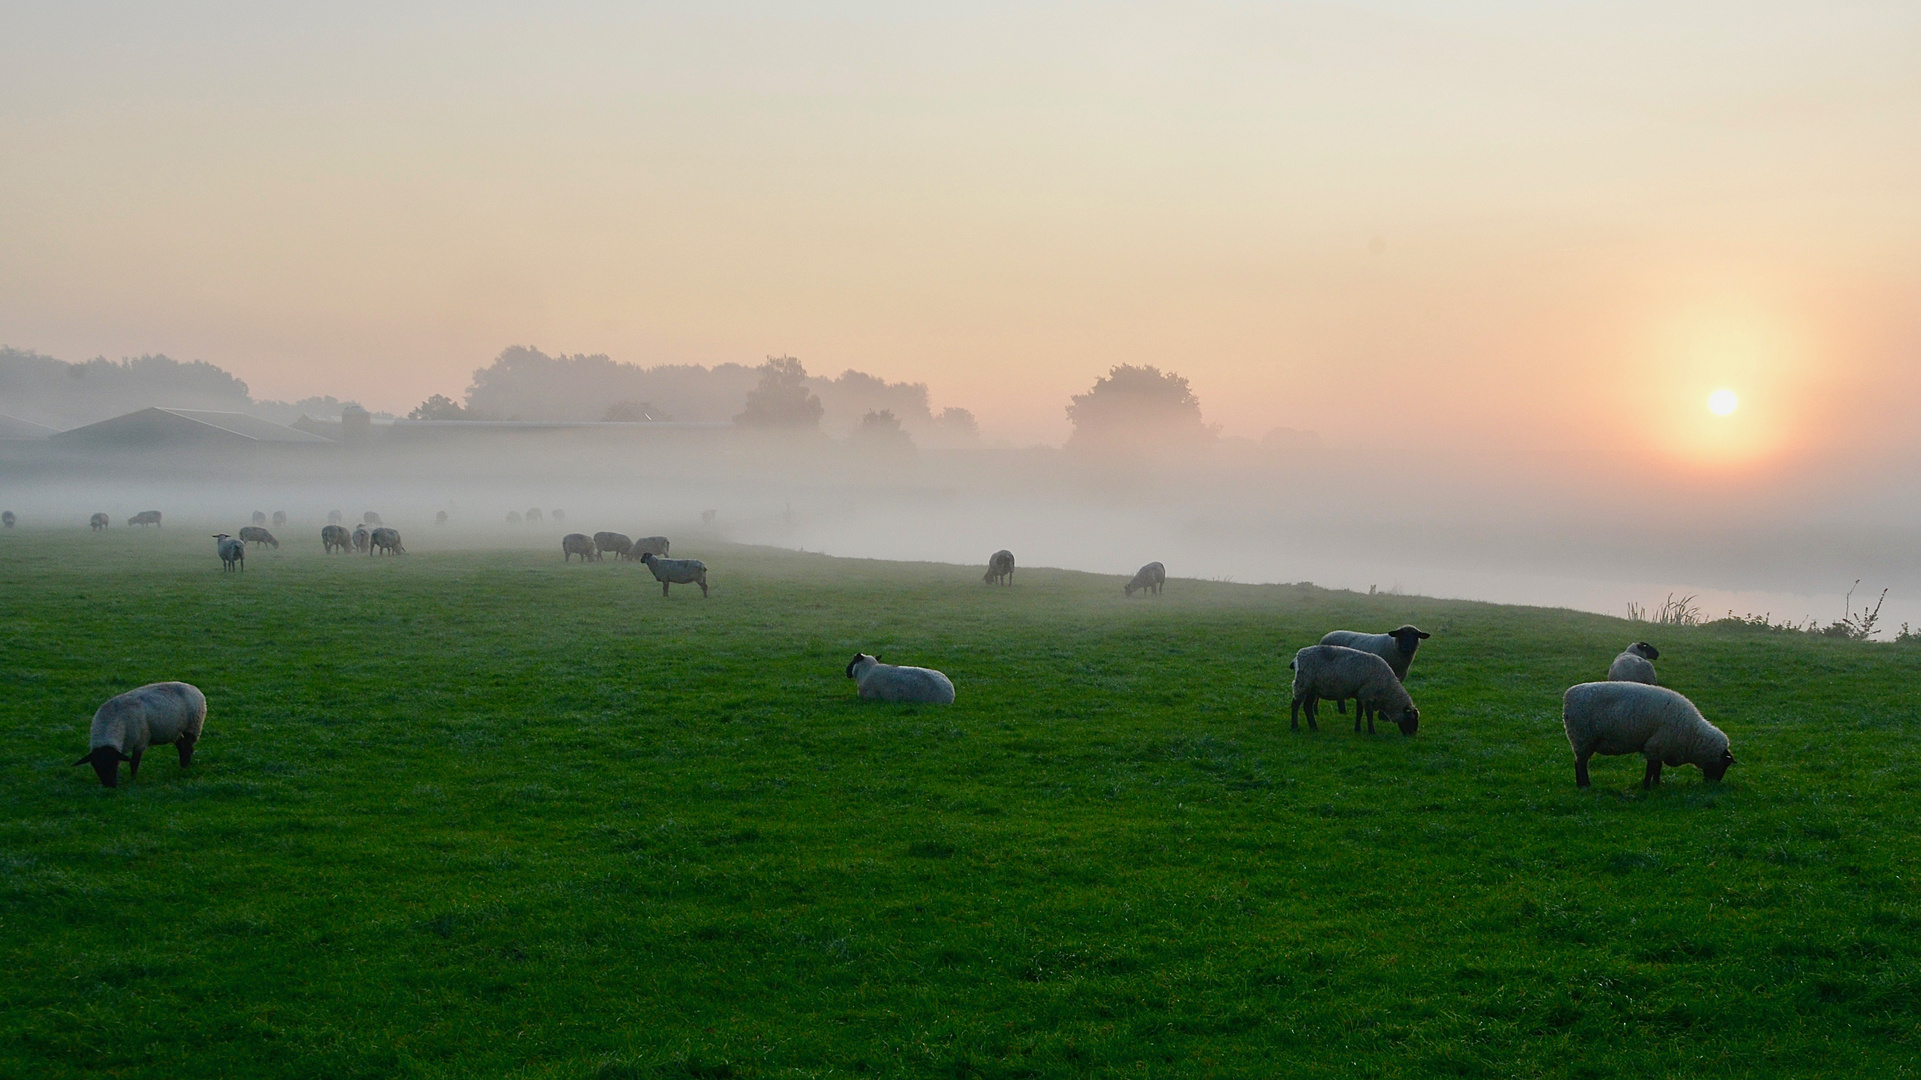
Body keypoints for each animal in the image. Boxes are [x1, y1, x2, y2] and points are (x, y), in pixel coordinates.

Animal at [72, 676, 206, 787]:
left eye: (113, 763)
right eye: (95, 766)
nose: (110, 785)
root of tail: (193, 687)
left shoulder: (140, 740)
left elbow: (134, 762)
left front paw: (132, 779)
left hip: (192, 727)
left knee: (188, 748)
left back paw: (185, 768)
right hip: (174, 731)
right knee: (182, 747)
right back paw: (182, 767)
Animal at [1283, 641, 1421, 734]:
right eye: (1412, 719)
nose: (1411, 735)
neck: (1386, 689)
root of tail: (1297, 657)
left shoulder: (1360, 693)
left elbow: (1359, 712)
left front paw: (1357, 729)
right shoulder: (1367, 694)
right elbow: (1369, 714)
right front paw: (1372, 731)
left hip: (1312, 688)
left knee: (1307, 707)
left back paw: (1314, 727)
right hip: (1303, 684)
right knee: (1295, 705)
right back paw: (1295, 726)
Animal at [1567, 676, 1736, 787]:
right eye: (1724, 765)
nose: (1713, 784)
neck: (1692, 735)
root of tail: (1569, 694)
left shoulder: (1660, 747)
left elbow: (1657, 767)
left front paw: (1656, 784)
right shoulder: (1656, 745)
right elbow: (1652, 768)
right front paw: (1647, 786)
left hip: (1583, 742)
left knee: (1577, 762)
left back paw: (1580, 785)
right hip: (1582, 738)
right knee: (1581, 764)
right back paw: (1586, 785)